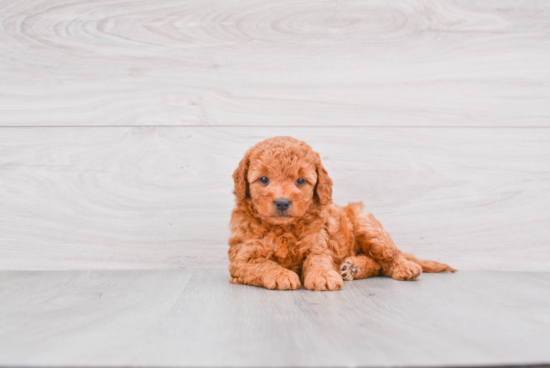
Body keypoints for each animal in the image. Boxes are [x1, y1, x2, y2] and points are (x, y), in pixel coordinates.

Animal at [226, 135, 454, 290]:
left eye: (300, 181)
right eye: (264, 179)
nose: (282, 203)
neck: (283, 229)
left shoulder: (318, 244)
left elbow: (317, 259)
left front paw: (323, 276)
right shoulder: (241, 258)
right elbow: (263, 264)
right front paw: (281, 274)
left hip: (367, 226)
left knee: (390, 257)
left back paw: (403, 268)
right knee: (377, 264)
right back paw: (352, 268)